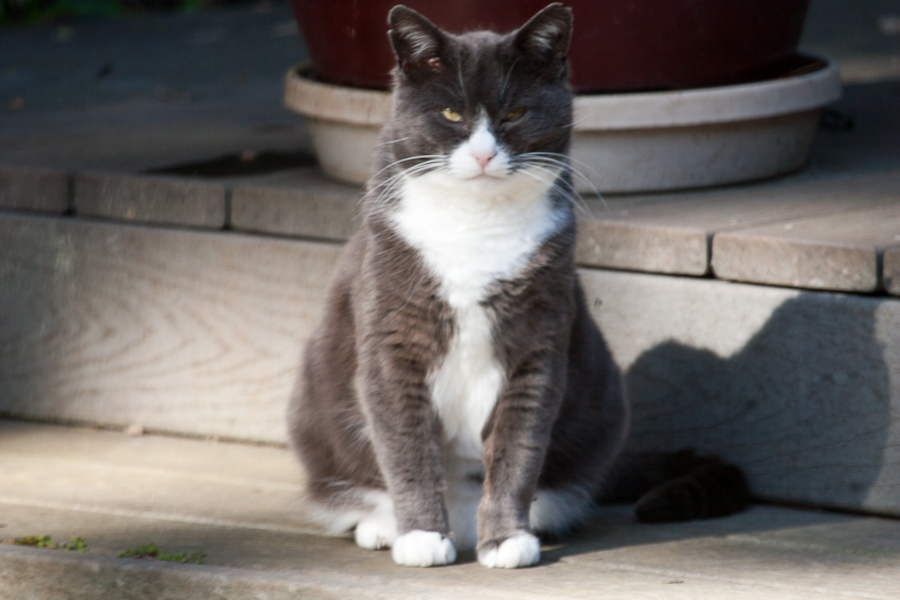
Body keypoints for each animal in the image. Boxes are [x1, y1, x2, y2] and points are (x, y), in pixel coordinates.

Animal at [290, 2, 752, 568]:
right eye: (451, 115)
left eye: (514, 115)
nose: (484, 154)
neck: (474, 223)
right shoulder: (391, 341)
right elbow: (406, 444)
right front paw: (421, 536)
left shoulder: (539, 346)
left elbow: (518, 449)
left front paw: (507, 540)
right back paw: (384, 526)